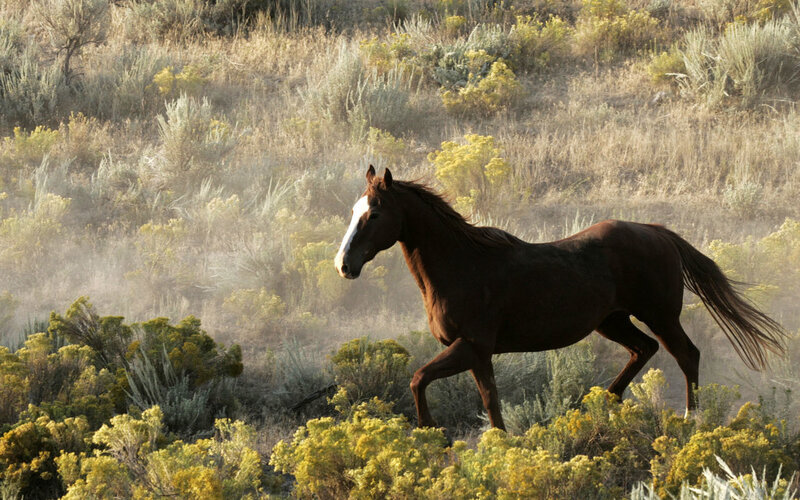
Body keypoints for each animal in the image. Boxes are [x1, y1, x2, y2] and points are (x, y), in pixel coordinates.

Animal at [334, 166, 787, 430]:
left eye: (374, 213)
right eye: (354, 211)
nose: (344, 264)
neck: (462, 265)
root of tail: (657, 232)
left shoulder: (472, 346)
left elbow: (421, 379)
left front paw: (434, 433)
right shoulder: (478, 354)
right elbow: (489, 402)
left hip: (659, 315)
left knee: (686, 355)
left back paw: (692, 418)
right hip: (612, 321)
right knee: (644, 350)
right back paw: (600, 403)